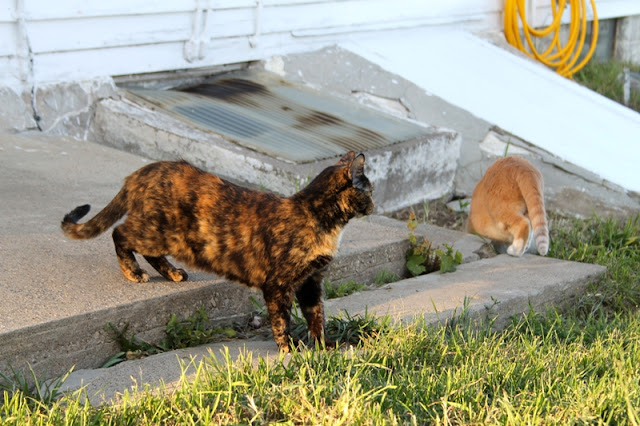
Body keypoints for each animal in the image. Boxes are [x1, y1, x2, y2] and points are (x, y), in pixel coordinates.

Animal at [62, 151, 372, 352]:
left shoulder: (311, 281)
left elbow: (316, 314)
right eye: (369, 190)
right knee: (120, 233)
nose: (374, 205)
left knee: (145, 249)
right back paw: (133, 271)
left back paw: (172, 273)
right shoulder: (279, 284)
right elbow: (282, 318)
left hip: (165, 238)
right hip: (157, 232)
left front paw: (323, 345)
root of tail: (140, 172)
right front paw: (289, 348)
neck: (315, 216)